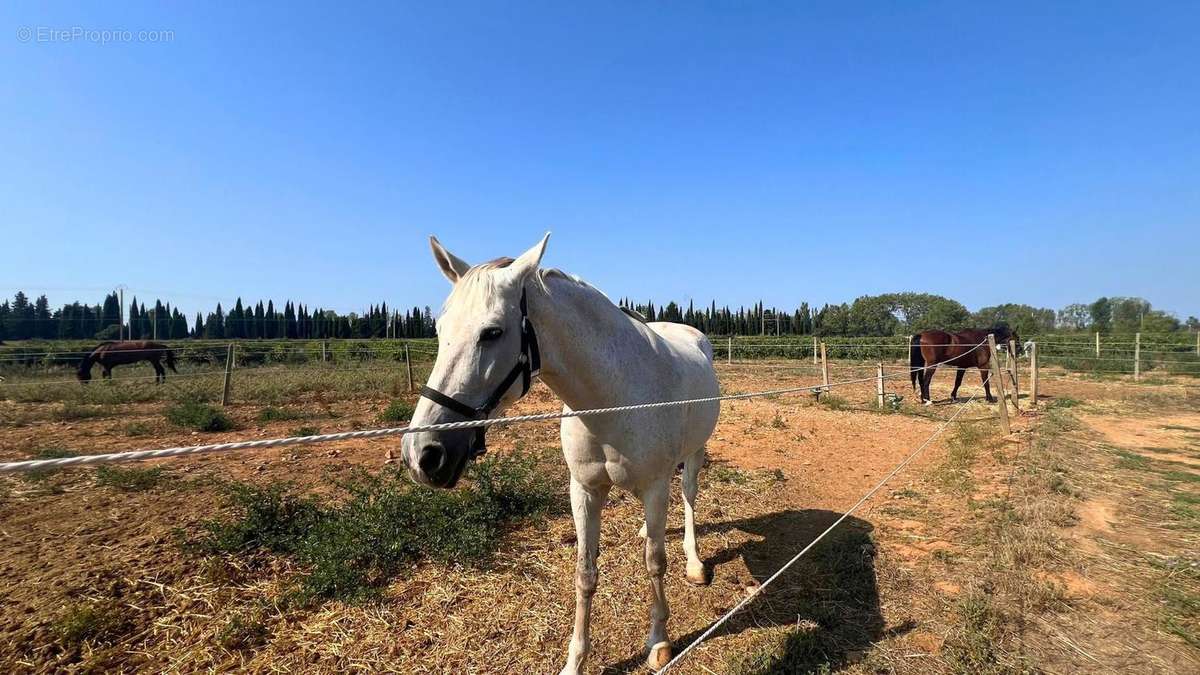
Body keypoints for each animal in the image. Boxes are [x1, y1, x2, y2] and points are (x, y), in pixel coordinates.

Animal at [403, 234, 720, 667]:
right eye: (438, 330)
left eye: (492, 332)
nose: (423, 454)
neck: (613, 398)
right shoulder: (583, 490)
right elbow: (585, 574)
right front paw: (576, 660)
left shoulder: (655, 487)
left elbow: (655, 563)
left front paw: (658, 641)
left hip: (696, 454)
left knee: (688, 499)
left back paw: (694, 562)